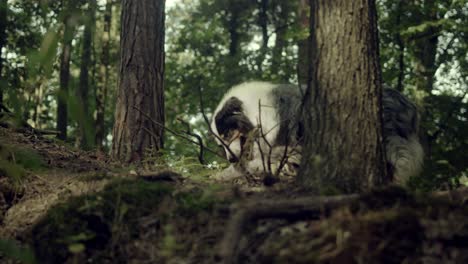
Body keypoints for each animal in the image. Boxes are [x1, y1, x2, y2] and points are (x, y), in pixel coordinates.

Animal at [210, 81, 422, 185]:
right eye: (220, 143)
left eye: (227, 134)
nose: (230, 159)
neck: (256, 112)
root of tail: (409, 105)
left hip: (391, 142)